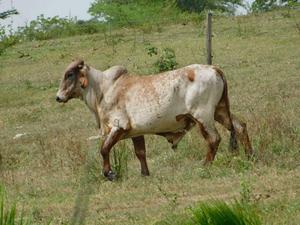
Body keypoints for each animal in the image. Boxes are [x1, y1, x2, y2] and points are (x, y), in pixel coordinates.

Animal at [55, 59, 253, 181]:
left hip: (203, 116)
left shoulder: (117, 127)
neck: (103, 89)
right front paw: (145, 174)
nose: (58, 97)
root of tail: (213, 68)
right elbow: (140, 153)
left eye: (69, 74)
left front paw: (109, 173)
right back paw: (250, 156)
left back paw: (205, 165)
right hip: (220, 111)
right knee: (240, 126)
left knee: (214, 139)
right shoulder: (135, 132)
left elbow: (104, 149)